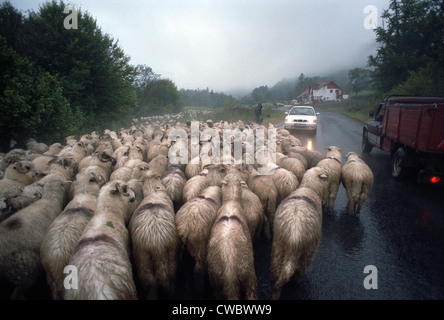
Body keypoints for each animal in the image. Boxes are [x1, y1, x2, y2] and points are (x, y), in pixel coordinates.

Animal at [268, 165, 328, 300]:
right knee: (298, 270)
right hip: (307, 251)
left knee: (277, 270)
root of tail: (294, 236)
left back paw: (275, 289)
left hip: (278, 246)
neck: (309, 188)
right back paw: (295, 283)